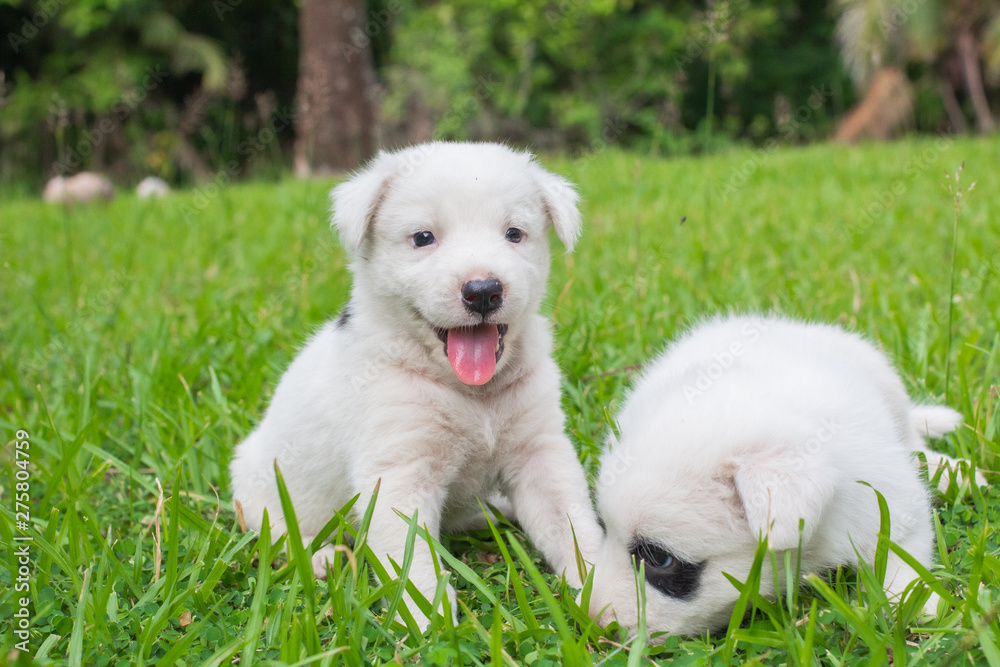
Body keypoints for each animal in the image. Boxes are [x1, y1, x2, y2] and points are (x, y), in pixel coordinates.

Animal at [230, 142, 600, 632]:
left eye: (514, 233)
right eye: (423, 238)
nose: (484, 290)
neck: (470, 392)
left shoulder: (540, 452)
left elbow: (572, 524)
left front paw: (609, 590)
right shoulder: (399, 471)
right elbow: (410, 555)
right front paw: (429, 621)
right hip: (260, 491)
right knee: (276, 534)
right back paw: (320, 557)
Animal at [584, 316, 976, 640]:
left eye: (659, 559)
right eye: (602, 529)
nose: (593, 624)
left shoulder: (889, 501)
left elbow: (901, 557)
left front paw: (912, 607)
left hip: (883, 377)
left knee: (911, 434)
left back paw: (948, 470)